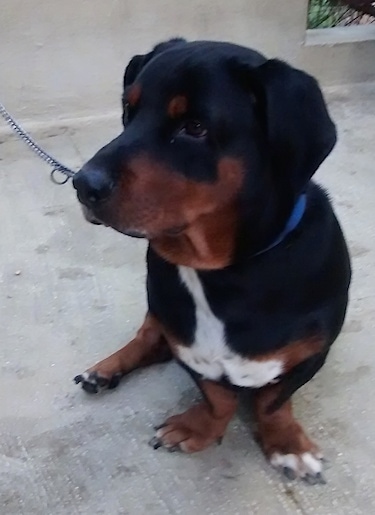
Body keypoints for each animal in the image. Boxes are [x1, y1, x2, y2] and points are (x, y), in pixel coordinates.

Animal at [73, 39, 352, 484]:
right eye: (128, 110)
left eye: (195, 127)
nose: (83, 184)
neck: (222, 272)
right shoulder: (187, 345)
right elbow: (218, 398)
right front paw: (198, 427)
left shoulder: (311, 353)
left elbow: (273, 402)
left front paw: (287, 443)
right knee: (148, 336)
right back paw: (105, 370)